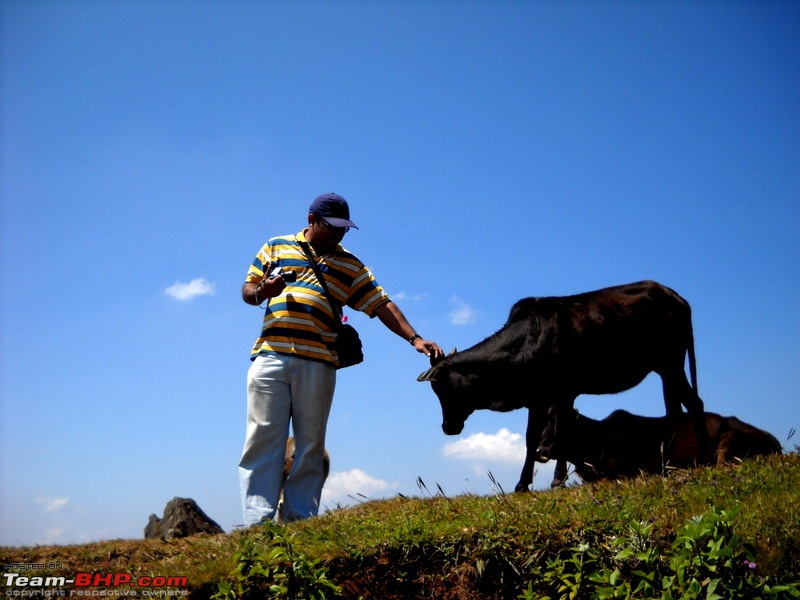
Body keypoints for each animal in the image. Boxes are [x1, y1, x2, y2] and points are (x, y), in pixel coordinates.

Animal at [418, 278, 708, 490]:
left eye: (442, 389)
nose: (448, 427)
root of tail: (677, 298)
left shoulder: (559, 394)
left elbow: (557, 434)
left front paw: (552, 480)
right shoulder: (541, 398)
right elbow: (535, 438)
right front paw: (528, 483)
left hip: (671, 364)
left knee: (693, 403)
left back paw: (701, 461)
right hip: (665, 369)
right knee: (675, 409)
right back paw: (666, 465)